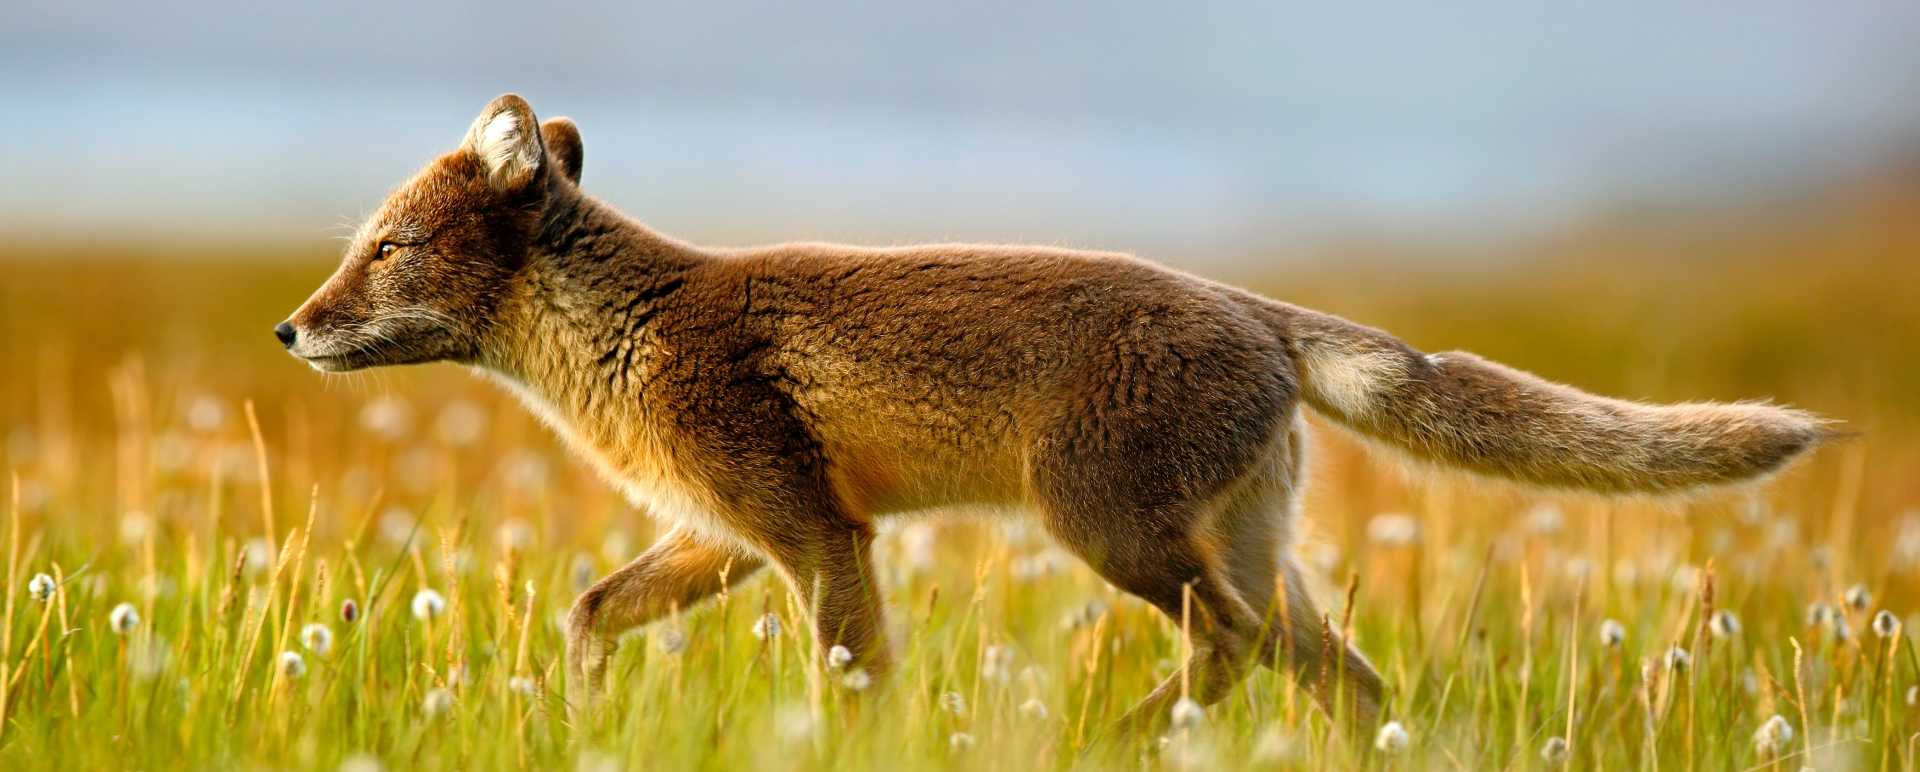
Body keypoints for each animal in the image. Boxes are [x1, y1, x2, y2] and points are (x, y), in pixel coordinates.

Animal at [278, 94, 1832, 732]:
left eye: (387, 251)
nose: (290, 329)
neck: (631, 335)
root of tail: (1256, 310)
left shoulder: (815, 537)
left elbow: (855, 680)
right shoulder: (733, 533)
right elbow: (591, 611)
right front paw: (584, 713)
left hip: (1110, 533)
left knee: (1233, 650)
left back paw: (1128, 732)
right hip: (1243, 552)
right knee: (1344, 677)